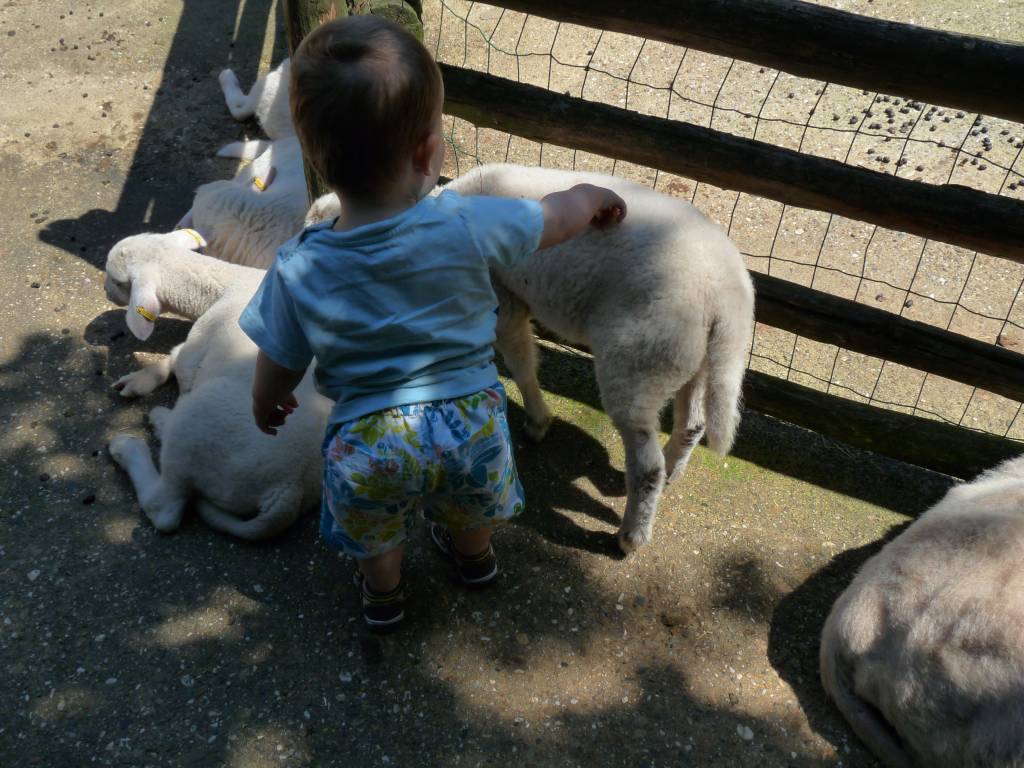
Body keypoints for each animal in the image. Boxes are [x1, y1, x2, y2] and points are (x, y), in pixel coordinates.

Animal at [104, 232, 331, 539]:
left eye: (117, 281)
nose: (105, 292)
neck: (228, 284)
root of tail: (289, 491)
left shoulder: (198, 346)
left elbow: (180, 360)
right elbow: (173, 356)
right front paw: (140, 380)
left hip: (200, 424)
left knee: (165, 508)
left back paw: (133, 444)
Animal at [309, 163, 755, 553]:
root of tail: (728, 298)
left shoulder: (501, 300)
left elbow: (521, 364)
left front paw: (537, 422)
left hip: (640, 357)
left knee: (646, 465)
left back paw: (632, 535)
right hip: (691, 358)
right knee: (692, 425)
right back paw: (673, 474)